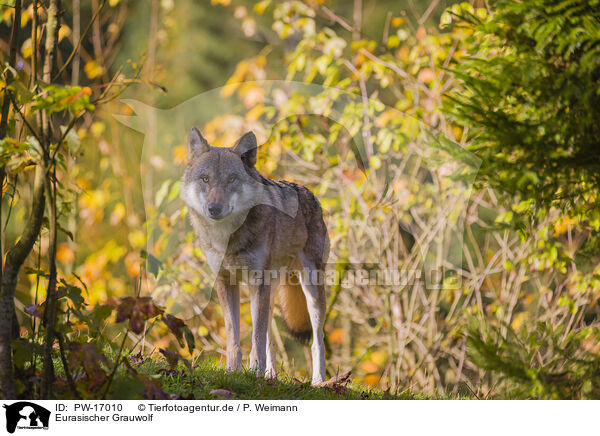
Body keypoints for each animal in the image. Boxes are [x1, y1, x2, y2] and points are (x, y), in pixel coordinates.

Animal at [180, 127, 330, 384]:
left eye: (232, 179)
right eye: (205, 179)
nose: (214, 209)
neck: (228, 238)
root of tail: (309, 193)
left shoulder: (257, 282)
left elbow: (256, 338)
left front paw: (254, 371)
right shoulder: (226, 282)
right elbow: (235, 337)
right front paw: (233, 371)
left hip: (309, 288)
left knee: (316, 341)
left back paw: (318, 382)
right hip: (268, 295)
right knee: (271, 338)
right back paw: (270, 376)